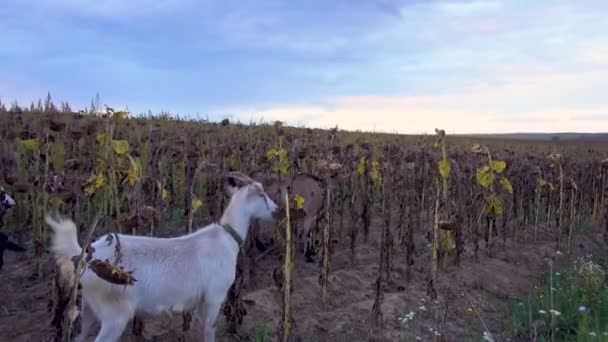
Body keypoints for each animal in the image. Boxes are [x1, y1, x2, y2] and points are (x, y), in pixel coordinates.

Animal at [46, 172, 280, 340]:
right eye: (262, 195)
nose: (277, 211)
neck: (226, 238)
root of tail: (86, 256)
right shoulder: (214, 297)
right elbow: (209, 331)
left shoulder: (200, 302)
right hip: (115, 313)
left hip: (89, 308)